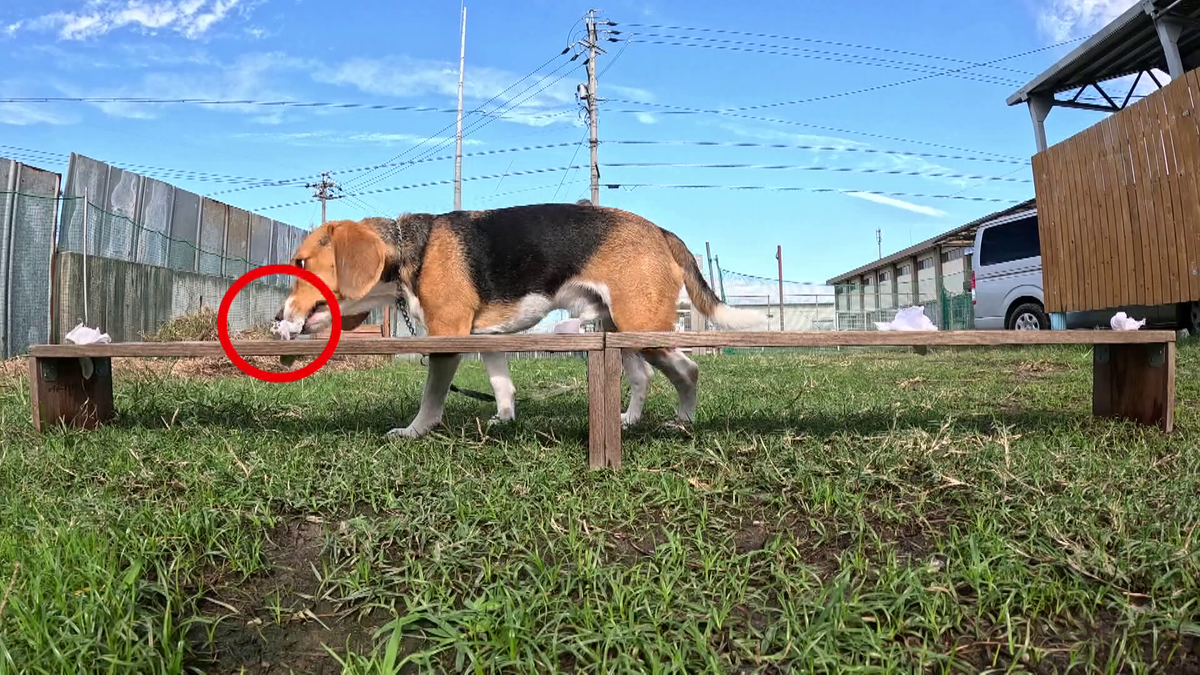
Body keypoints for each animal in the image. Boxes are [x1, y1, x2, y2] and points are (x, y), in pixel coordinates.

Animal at [274, 201, 758, 439]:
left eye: (300, 263)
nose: (278, 318)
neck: (410, 250)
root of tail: (660, 230)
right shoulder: (487, 338)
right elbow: (502, 385)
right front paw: (504, 420)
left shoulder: (448, 336)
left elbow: (431, 398)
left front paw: (414, 431)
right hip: (617, 332)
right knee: (643, 378)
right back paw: (627, 421)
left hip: (644, 329)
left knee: (689, 369)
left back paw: (683, 420)